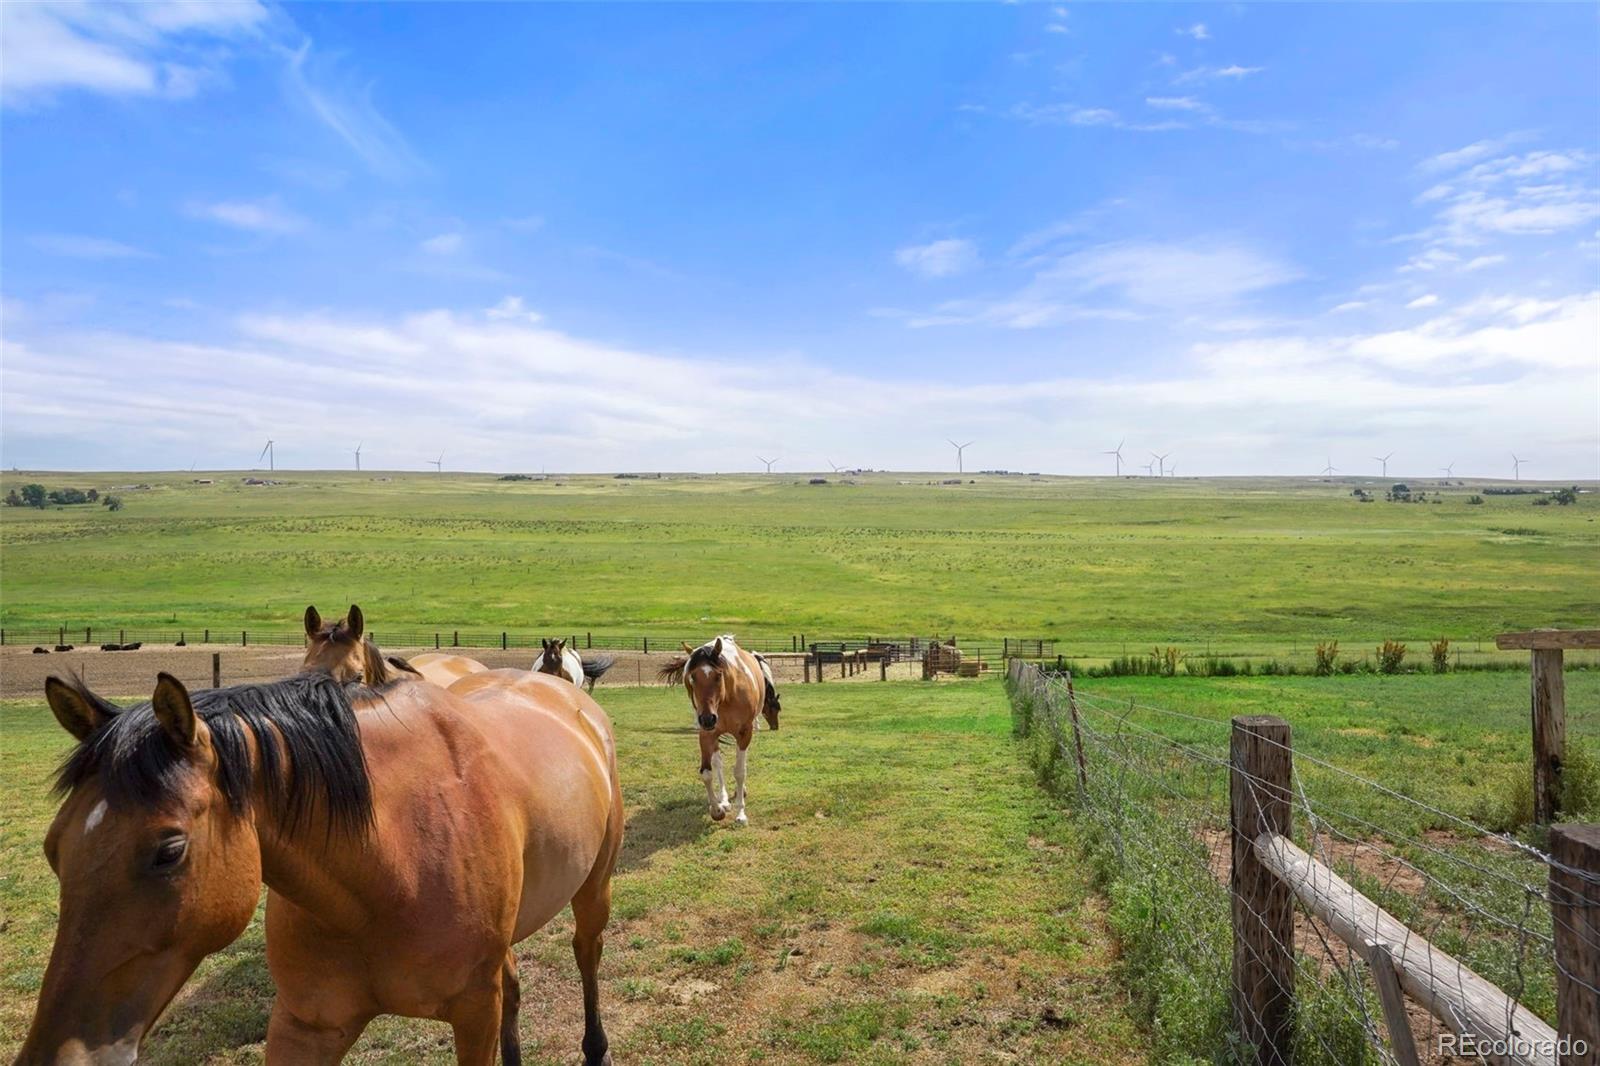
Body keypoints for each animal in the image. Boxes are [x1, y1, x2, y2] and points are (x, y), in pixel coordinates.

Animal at [26, 659, 624, 1056]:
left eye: (168, 851)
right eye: (54, 849)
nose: (57, 1056)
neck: (387, 871)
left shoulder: (474, 1014)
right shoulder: (307, 1025)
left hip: (593, 891)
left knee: (586, 953)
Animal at [656, 630, 780, 819]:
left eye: (718, 675)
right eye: (692, 677)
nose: (707, 719)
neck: (727, 697)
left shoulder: (744, 733)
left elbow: (740, 771)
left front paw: (740, 813)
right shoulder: (707, 734)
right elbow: (707, 773)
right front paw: (717, 809)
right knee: (718, 763)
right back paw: (724, 799)